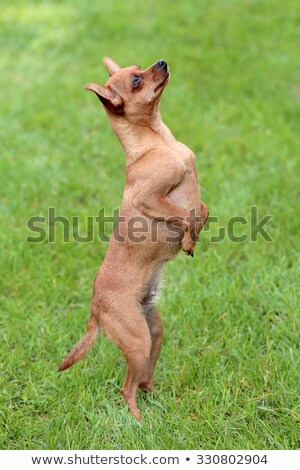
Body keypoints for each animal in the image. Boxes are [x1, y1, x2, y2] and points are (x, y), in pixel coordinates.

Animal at [58, 57, 209, 420]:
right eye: (137, 80)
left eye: (138, 67)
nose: (162, 62)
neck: (160, 141)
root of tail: (95, 306)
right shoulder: (149, 200)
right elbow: (185, 215)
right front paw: (187, 241)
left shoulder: (196, 201)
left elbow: (202, 210)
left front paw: (195, 237)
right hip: (138, 340)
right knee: (127, 387)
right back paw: (140, 422)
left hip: (153, 332)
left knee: (142, 380)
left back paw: (157, 401)